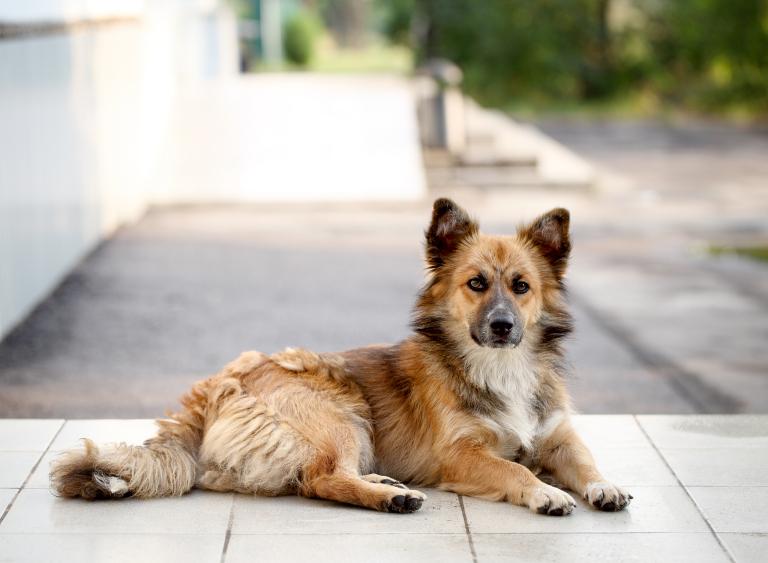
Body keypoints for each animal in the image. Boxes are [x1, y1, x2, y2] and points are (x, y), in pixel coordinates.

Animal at [51, 198, 632, 516]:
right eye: (476, 284)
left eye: (521, 287)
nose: (503, 326)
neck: (499, 368)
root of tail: (216, 387)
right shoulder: (461, 455)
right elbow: (514, 470)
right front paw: (545, 493)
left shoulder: (558, 435)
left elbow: (586, 461)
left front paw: (604, 485)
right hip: (343, 413)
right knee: (319, 479)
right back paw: (390, 499)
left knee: (307, 475)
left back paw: (384, 484)